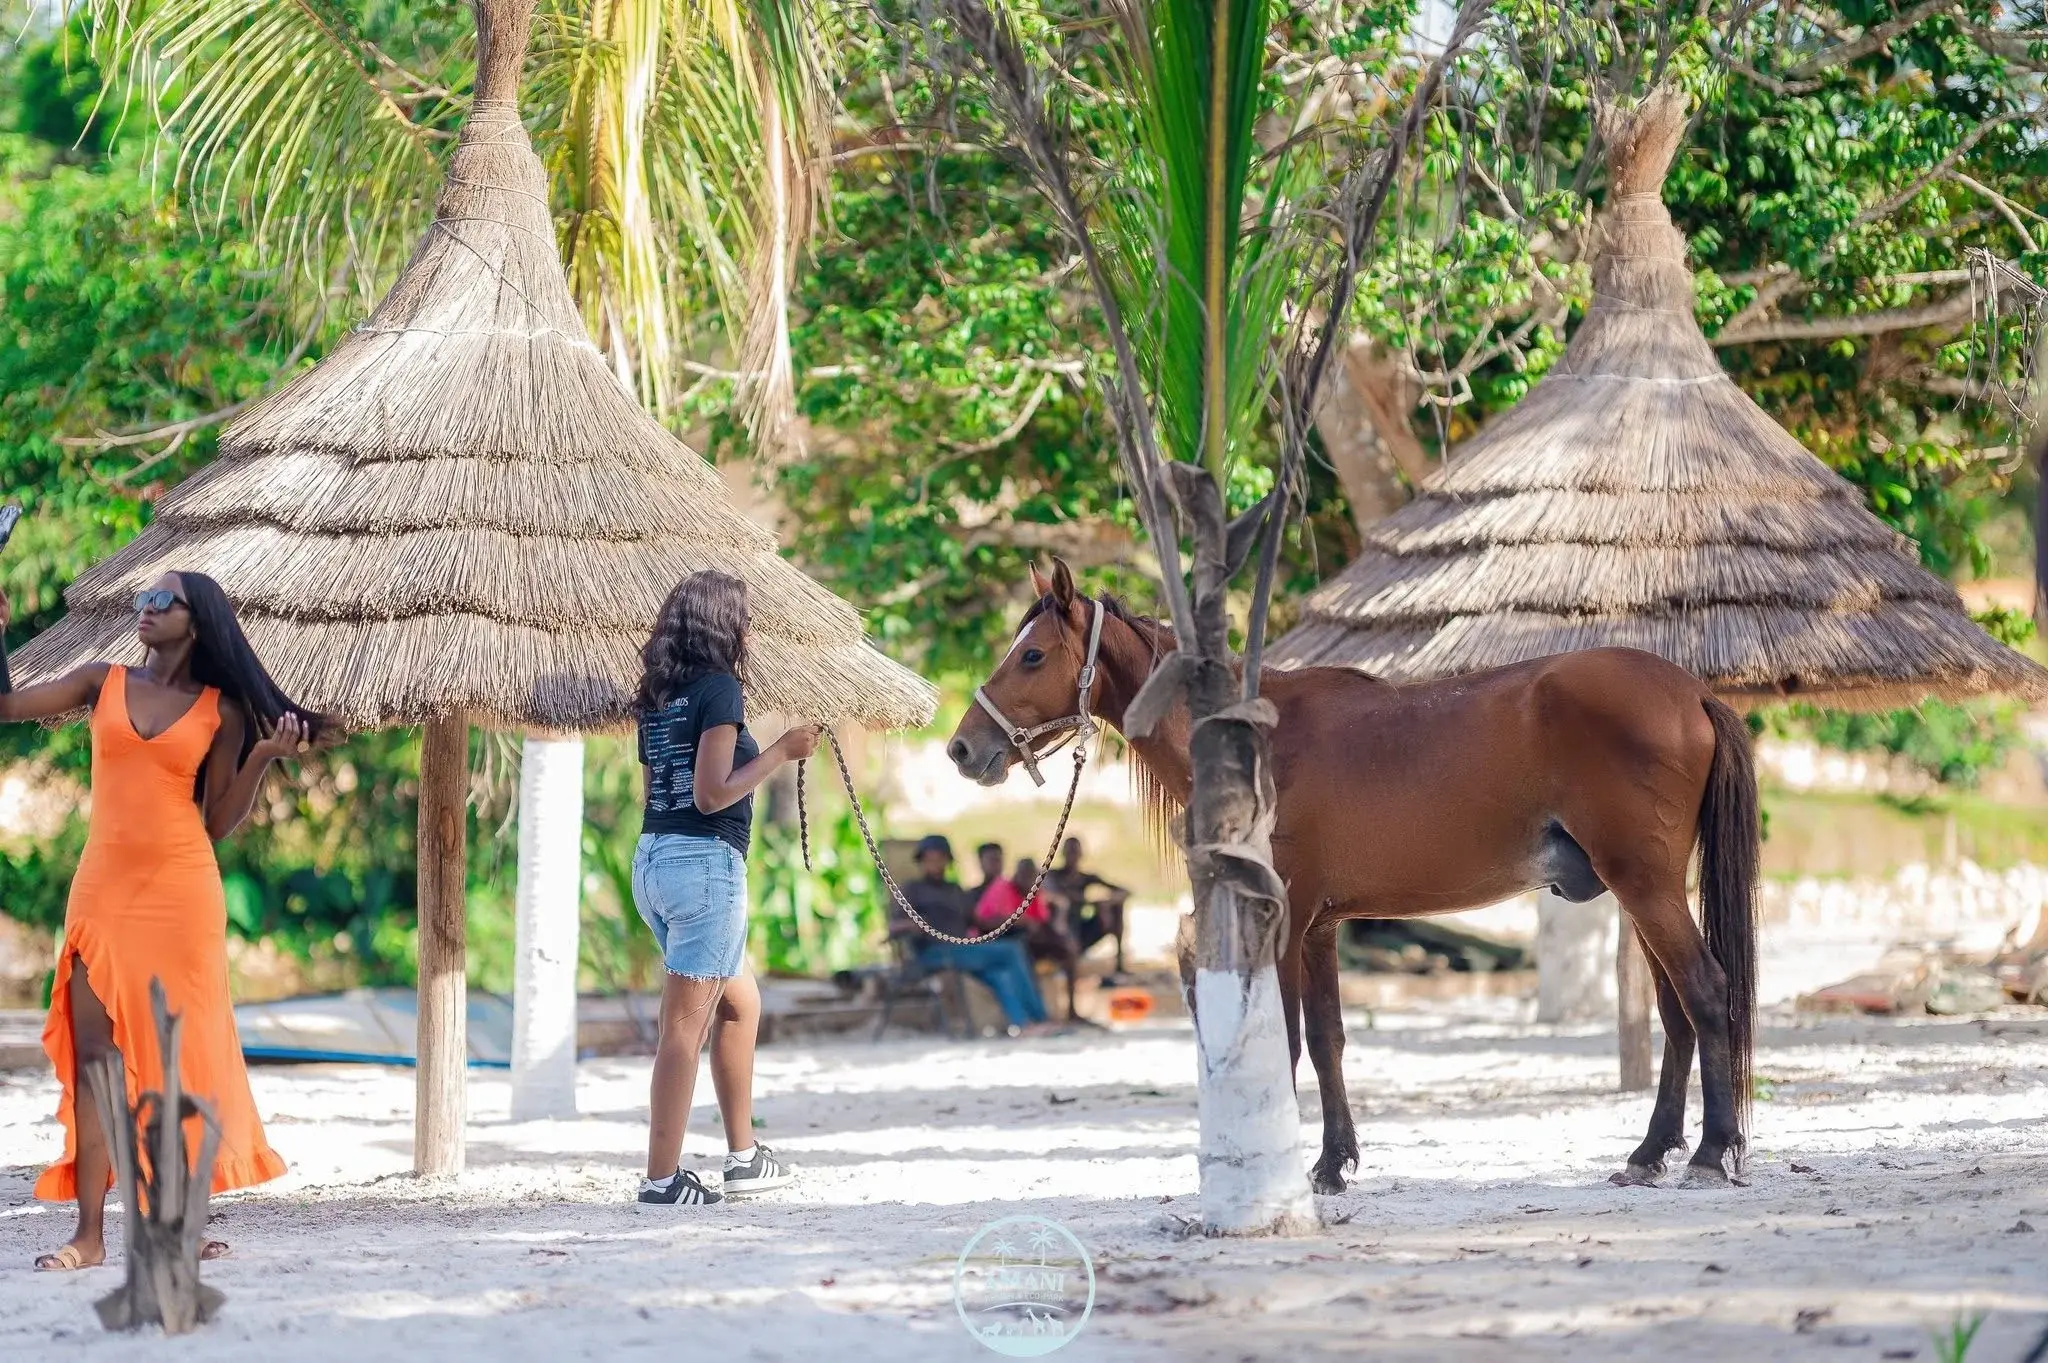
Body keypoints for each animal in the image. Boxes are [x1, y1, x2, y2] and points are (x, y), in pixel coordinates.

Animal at [947, 559, 1760, 1193]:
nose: (961, 748)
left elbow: (1285, 1036)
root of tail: (1688, 690)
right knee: (1676, 1011)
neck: (1257, 746)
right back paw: (1650, 1152)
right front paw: (1332, 1163)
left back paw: (1711, 1151)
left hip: (1646, 887)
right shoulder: (1320, 925)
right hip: (1639, 892)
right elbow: (1328, 1038)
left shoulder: (1283, 917)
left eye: (1031, 656)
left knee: (1704, 990)